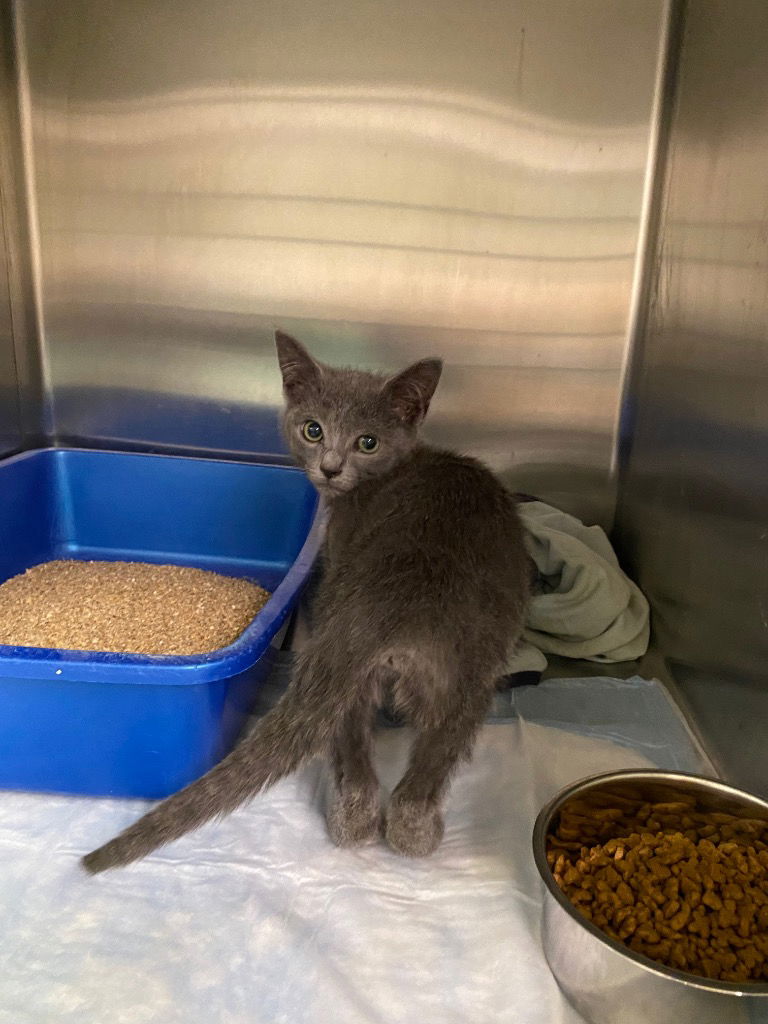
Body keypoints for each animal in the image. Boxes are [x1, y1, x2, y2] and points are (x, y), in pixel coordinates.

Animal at [81, 329, 532, 872]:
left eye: (367, 442)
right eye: (313, 430)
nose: (331, 468)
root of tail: (398, 600)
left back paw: (376, 826)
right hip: (456, 672)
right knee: (414, 753)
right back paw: (387, 829)